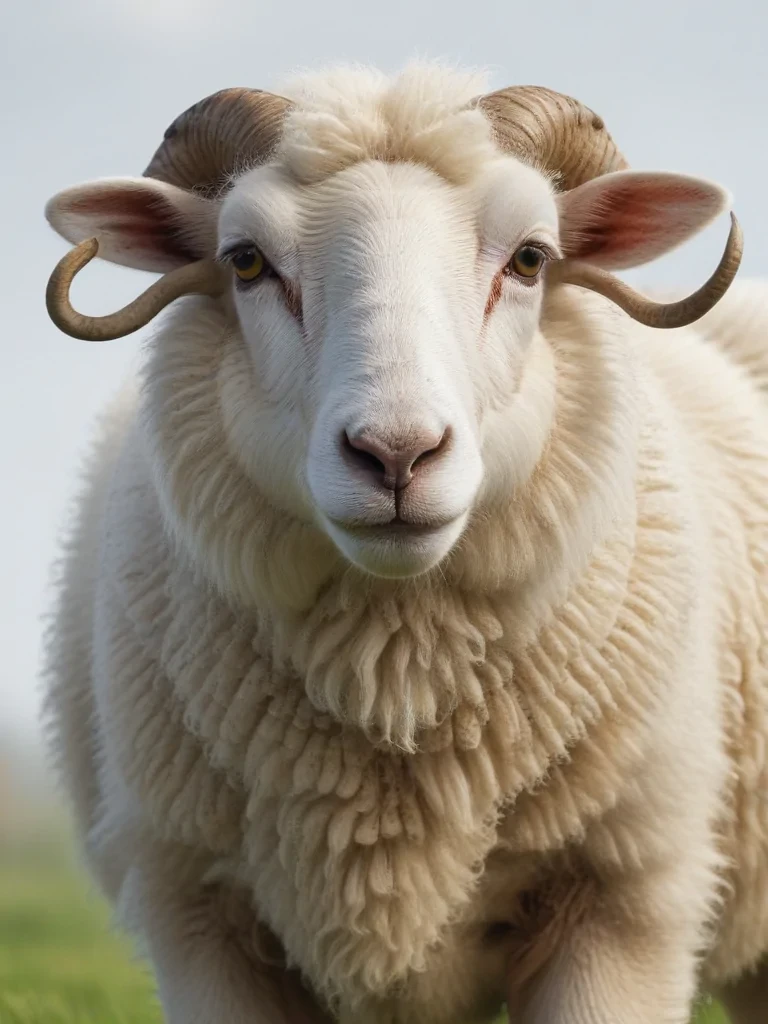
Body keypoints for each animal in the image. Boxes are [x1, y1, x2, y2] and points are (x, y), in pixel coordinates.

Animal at [40, 63, 768, 1024]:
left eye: (531, 259)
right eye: (245, 261)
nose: (396, 454)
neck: (396, 684)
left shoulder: (619, 908)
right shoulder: (203, 922)